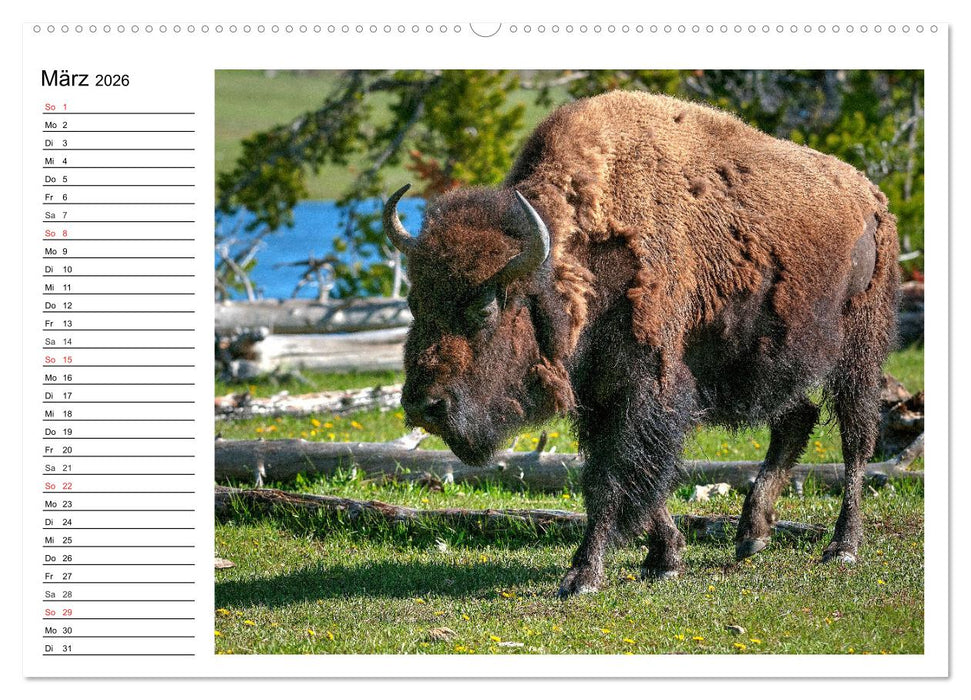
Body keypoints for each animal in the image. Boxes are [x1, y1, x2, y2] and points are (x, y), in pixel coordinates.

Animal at [383, 91, 899, 596]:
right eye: (414, 301)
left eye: (485, 308)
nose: (423, 406)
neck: (575, 264)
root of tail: (870, 197)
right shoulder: (600, 393)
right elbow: (626, 477)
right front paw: (664, 558)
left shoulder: (645, 388)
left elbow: (614, 478)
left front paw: (582, 575)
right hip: (769, 360)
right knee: (797, 418)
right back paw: (752, 535)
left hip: (860, 349)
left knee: (856, 439)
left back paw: (842, 546)